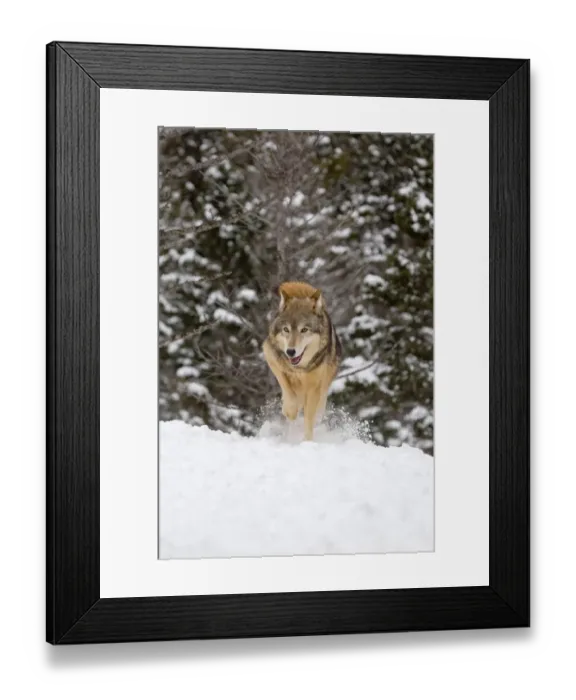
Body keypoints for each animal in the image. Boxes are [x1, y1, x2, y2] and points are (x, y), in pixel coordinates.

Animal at [263, 281, 342, 441]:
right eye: (286, 329)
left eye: (304, 330)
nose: (290, 352)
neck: (300, 368)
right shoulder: (272, 359)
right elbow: (287, 390)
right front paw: (290, 410)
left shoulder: (314, 388)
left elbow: (309, 419)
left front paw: (307, 441)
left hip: (323, 388)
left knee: (317, 410)